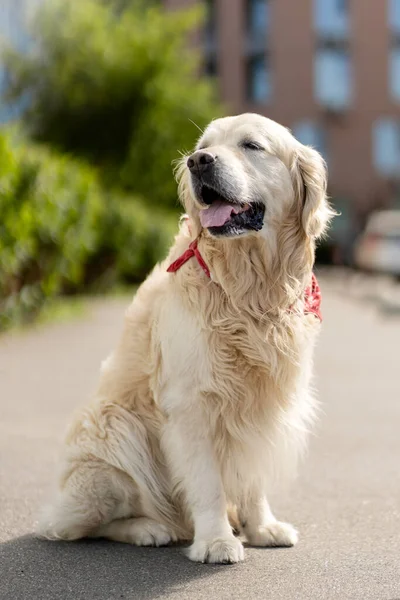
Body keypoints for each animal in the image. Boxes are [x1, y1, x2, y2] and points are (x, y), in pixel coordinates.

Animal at [38, 112, 332, 564]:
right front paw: (215, 541)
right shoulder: (192, 402)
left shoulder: (262, 403)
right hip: (113, 426)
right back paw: (151, 528)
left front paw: (262, 527)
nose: (198, 162)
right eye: (202, 147)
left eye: (252, 145)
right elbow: (207, 483)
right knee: (75, 526)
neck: (248, 288)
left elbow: (252, 476)